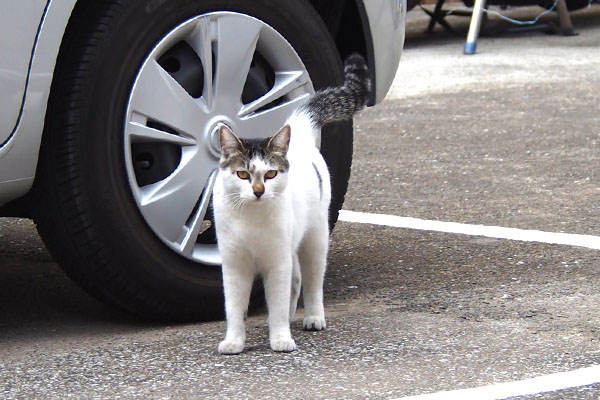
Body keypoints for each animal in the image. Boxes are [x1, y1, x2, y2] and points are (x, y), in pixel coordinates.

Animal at [213, 52, 368, 354]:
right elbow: (234, 307)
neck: (251, 219)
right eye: (242, 174)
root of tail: (299, 130)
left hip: (315, 240)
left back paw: (313, 317)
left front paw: (281, 338)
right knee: (296, 282)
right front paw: (234, 341)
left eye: (270, 174)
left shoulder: (277, 261)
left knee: (312, 282)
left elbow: (278, 301)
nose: (258, 191)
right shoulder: (235, 265)